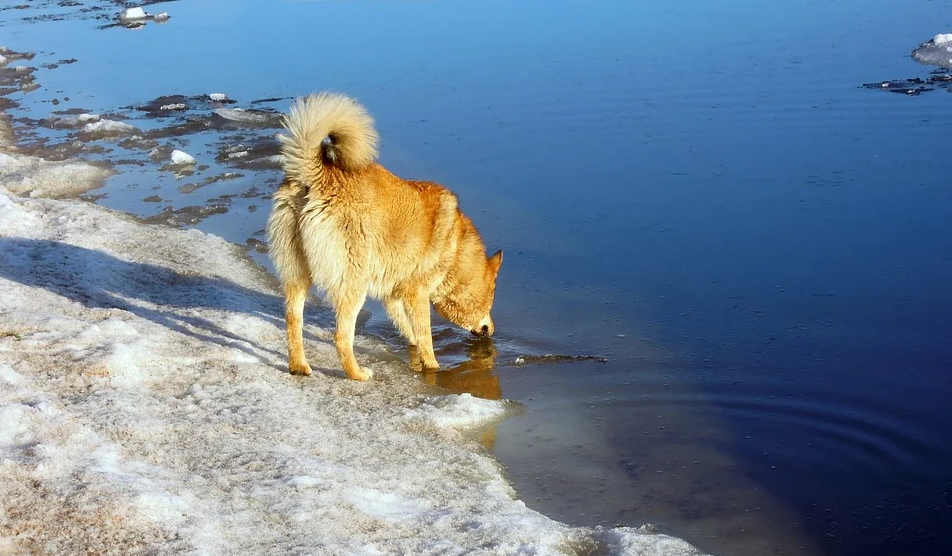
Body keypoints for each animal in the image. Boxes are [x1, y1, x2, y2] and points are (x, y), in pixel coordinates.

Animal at [266, 93, 502, 380]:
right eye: (491, 298)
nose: (491, 330)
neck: (456, 250)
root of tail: (318, 174)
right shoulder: (417, 293)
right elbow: (425, 337)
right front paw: (434, 367)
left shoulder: (395, 294)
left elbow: (410, 330)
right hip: (353, 282)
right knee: (341, 336)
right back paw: (357, 373)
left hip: (296, 274)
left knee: (293, 321)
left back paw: (299, 366)